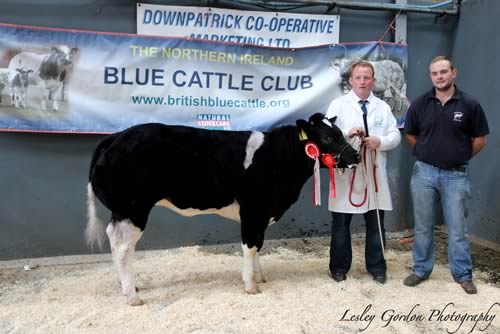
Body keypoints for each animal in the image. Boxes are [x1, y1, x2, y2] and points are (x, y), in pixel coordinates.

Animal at [87, 114, 360, 306]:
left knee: (114, 240)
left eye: (341, 133)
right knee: (124, 248)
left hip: (122, 211)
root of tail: (116, 136)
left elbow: (258, 245)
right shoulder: (253, 210)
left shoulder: (261, 214)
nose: (356, 155)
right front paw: (251, 285)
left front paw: (259, 276)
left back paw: (126, 286)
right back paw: (133, 297)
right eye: (327, 138)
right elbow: (250, 246)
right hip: (133, 208)